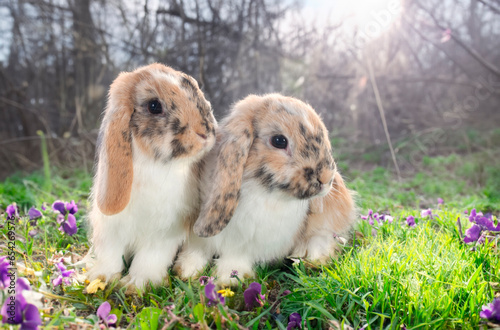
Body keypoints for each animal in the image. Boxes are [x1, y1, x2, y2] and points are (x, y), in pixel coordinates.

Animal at [85, 63, 217, 290]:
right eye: (154, 106)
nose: (205, 132)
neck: (155, 165)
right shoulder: (111, 230)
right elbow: (110, 255)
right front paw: (101, 278)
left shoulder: (163, 234)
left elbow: (149, 259)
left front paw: (137, 284)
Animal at [174, 93, 358, 286]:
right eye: (279, 141)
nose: (326, 178)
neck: (258, 189)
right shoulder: (199, 237)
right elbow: (196, 251)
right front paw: (186, 271)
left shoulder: (247, 244)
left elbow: (235, 258)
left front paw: (226, 279)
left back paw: (312, 260)